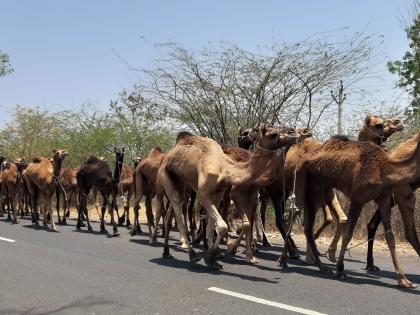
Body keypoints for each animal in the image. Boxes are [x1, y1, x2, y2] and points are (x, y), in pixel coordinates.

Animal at [156, 125, 296, 270]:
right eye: (273, 134)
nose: (293, 132)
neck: (224, 168)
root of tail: (170, 153)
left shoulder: (218, 193)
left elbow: (212, 227)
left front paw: (213, 260)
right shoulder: (203, 193)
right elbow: (223, 226)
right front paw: (211, 256)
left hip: (181, 182)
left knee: (171, 215)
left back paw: (167, 252)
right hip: (165, 176)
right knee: (180, 217)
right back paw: (192, 254)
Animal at [296, 133, 420, 288]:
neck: (385, 169)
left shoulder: (384, 198)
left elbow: (390, 237)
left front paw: (404, 280)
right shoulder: (358, 198)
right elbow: (348, 234)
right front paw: (340, 270)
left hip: (324, 190)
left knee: (309, 225)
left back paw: (317, 264)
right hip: (309, 187)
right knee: (306, 225)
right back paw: (320, 266)